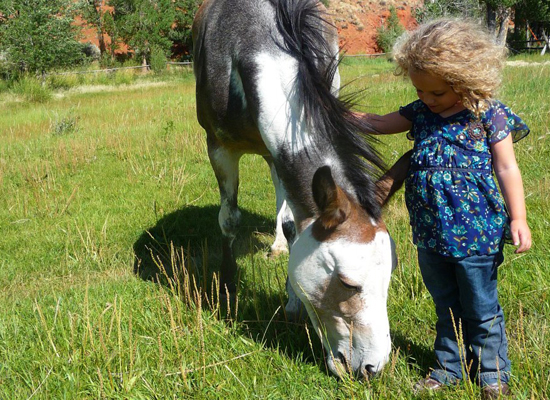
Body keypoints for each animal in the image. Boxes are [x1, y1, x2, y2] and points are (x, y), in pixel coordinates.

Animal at [192, 0, 412, 378]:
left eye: (389, 275)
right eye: (348, 283)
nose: (373, 366)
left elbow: (295, 222)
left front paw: (292, 302)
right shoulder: (219, 148)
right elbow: (229, 218)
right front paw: (228, 287)